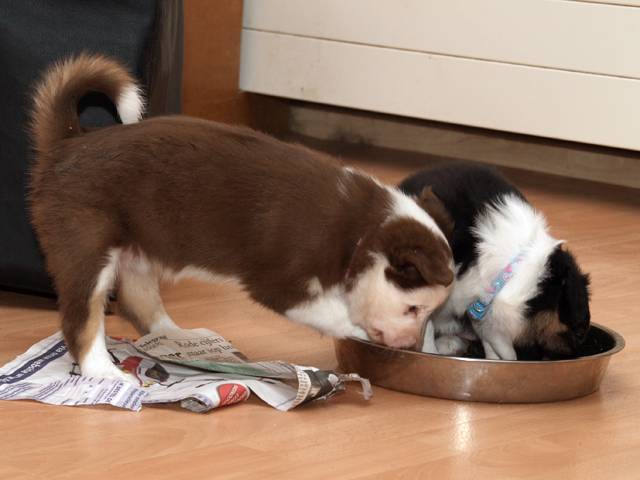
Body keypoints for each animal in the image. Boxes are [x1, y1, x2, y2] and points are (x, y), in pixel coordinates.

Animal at [28, 54, 454, 382]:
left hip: (139, 247)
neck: (362, 234)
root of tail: (70, 142)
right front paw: (357, 331)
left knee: (137, 300)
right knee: (82, 320)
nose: (410, 347)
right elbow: (332, 314)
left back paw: (177, 339)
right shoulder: (281, 283)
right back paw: (101, 370)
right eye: (413, 309)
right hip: (86, 246)